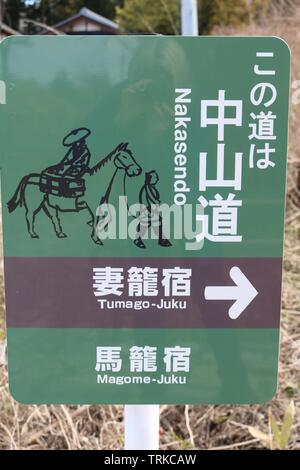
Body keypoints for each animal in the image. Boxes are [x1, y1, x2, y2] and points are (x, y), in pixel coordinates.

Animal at [7, 141, 142, 244]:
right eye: (124, 156)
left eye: (131, 155)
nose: (137, 170)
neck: (95, 181)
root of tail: (29, 178)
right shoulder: (93, 207)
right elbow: (97, 220)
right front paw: (96, 238)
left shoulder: (102, 205)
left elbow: (107, 217)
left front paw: (97, 228)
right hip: (34, 205)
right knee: (30, 215)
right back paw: (33, 234)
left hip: (48, 204)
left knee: (53, 217)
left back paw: (60, 233)